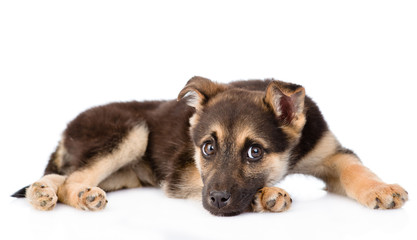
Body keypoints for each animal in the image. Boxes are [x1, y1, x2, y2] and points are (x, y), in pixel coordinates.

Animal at [11, 77, 408, 216]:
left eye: (255, 152)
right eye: (207, 149)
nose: (217, 202)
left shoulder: (330, 153)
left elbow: (357, 169)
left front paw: (380, 189)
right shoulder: (182, 175)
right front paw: (266, 195)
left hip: (124, 173)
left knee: (62, 176)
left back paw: (43, 192)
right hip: (131, 132)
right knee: (71, 180)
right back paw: (73, 196)